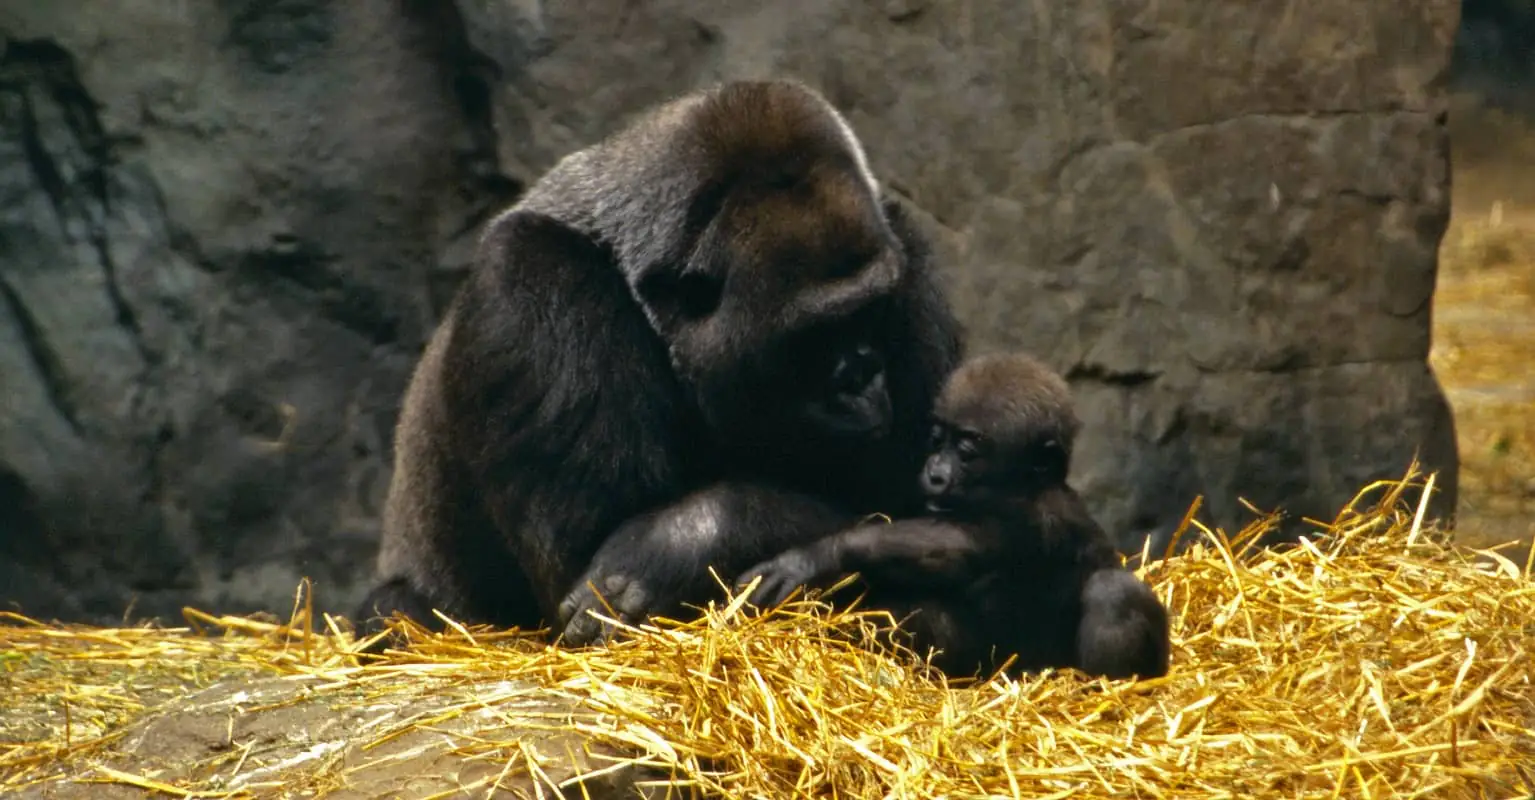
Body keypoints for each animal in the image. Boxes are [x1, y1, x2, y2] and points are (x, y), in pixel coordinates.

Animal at [353, 79, 964, 652]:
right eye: (813, 336)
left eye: (871, 311)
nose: (862, 379)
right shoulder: (527, 278)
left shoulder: (905, 251)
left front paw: (675, 545)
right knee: (392, 612)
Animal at [736, 353, 1171, 681]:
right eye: (938, 439)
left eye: (966, 451)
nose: (934, 473)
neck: (1029, 486)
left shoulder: (1033, 519)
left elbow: (958, 546)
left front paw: (818, 556)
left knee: (1114, 590)